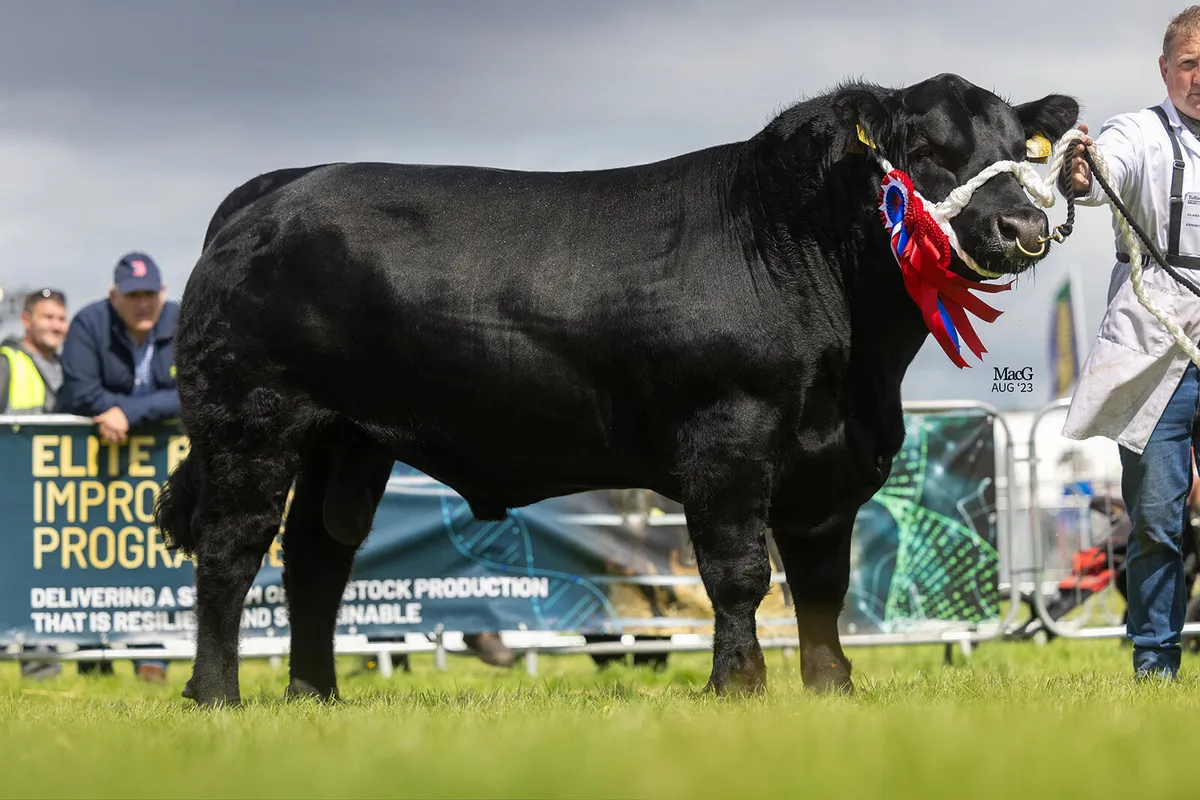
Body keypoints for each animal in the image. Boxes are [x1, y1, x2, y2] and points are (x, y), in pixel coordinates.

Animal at [155, 72, 1079, 707]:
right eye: (926, 154)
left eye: (1019, 152)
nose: (1022, 227)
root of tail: (275, 187)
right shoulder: (727, 440)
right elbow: (740, 573)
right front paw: (738, 686)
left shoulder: (836, 465)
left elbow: (823, 586)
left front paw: (831, 690)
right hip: (254, 418)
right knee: (233, 549)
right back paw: (218, 696)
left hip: (346, 439)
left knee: (318, 554)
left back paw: (316, 696)